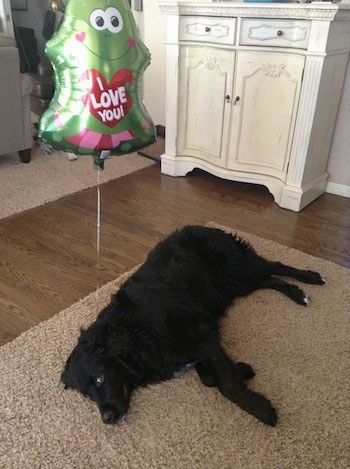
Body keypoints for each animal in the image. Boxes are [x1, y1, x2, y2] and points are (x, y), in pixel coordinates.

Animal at [62, 225, 326, 426]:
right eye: (87, 395)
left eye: (100, 379)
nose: (106, 419)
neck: (135, 332)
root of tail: (204, 226)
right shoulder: (200, 345)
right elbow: (209, 378)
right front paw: (242, 370)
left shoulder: (202, 337)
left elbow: (225, 384)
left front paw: (260, 408)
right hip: (237, 284)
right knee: (269, 280)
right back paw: (297, 293)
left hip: (241, 270)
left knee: (277, 266)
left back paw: (310, 279)